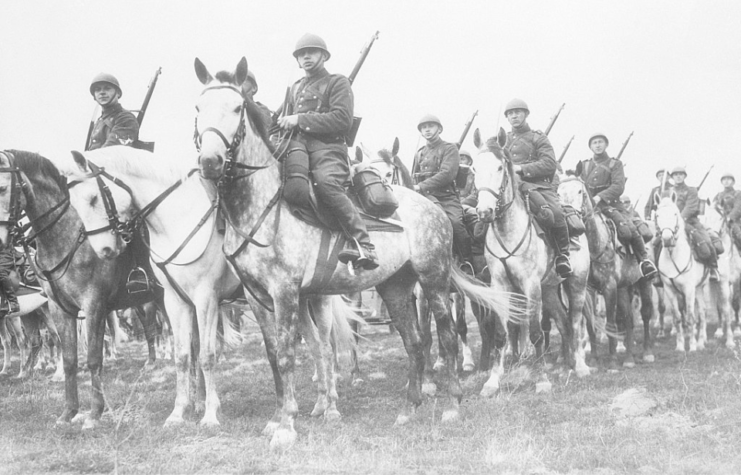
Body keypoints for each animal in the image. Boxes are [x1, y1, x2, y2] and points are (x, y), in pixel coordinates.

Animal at [0, 152, 159, 432]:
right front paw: (68, 413)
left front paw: (94, 414)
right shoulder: (59, 309)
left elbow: (94, 358)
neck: (69, 238)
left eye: (2, 188)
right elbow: (70, 359)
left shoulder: (93, 305)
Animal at [60, 144, 356, 428]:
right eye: (74, 205)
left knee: (327, 345)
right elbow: (182, 356)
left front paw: (210, 414)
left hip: (316, 296)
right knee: (316, 344)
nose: (105, 250)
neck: (180, 217)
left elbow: (206, 355)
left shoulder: (205, 298)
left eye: (93, 198)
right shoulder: (175, 301)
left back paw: (332, 400)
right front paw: (179, 413)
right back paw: (321, 400)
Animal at [192, 57, 520, 448]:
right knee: (414, 342)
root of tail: (434, 207)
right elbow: (274, 357)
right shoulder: (258, 298)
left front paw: (287, 424)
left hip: (434, 282)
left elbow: (287, 356)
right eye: (198, 108)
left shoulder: (285, 293)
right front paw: (276, 419)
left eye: (237, 108)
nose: (210, 161)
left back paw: (453, 404)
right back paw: (408, 409)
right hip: (395, 288)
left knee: (447, 337)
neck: (265, 206)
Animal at [556, 178, 656, 368]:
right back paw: (629, 358)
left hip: (644, 283)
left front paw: (612, 361)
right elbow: (590, 324)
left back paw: (647, 352)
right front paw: (594, 358)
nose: (567, 217)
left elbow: (610, 323)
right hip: (624, 288)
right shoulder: (589, 290)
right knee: (628, 319)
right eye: (558, 192)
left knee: (646, 314)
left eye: (580, 191)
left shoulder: (609, 287)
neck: (595, 244)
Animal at [652, 192, 732, 352]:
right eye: (657, 215)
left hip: (723, 283)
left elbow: (689, 317)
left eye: (675, 213)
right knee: (702, 312)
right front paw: (680, 346)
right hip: (700, 288)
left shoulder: (688, 289)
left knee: (726, 310)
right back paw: (702, 342)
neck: (674, 255)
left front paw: (692, 346)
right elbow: (678, 317)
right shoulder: (670, 290)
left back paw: (729, 341)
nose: (667, 239)